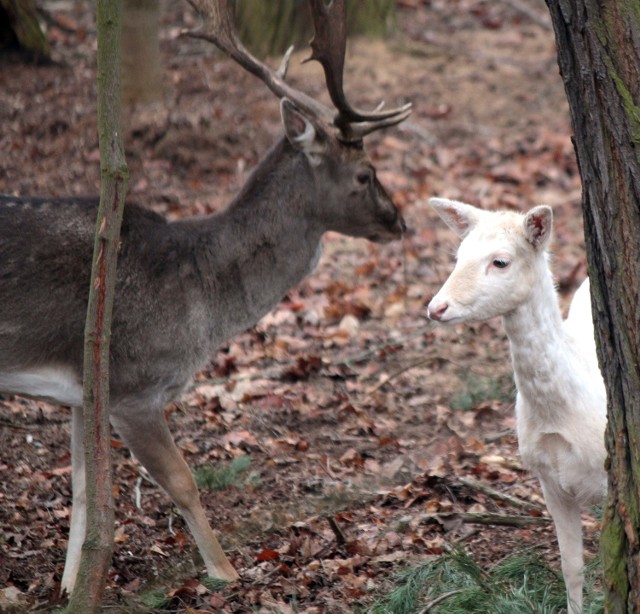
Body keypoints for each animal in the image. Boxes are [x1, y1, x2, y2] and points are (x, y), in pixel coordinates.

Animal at [0, 0, 410, 596]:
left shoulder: (83, 389)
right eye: (364, 173)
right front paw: (225, 572)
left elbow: (83, 494)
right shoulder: (133, 384)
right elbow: (182, 482)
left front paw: (71, 589)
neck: (200, 293)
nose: (400, 221)